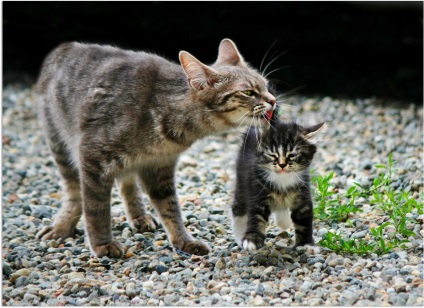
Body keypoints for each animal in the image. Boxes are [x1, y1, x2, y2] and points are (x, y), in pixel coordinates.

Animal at [36, 38, 278, 258]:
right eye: (248, 92)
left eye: (266, 85)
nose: (274, 100)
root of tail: (65, 46)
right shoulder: (93, 156)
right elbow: (96, 208)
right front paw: (102, 244)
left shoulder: (159, 167)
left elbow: (170, 208)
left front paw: (183, 240)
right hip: (59, 144)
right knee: (74, 191)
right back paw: (62, 225)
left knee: (127, 183)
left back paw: (138, 215)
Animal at [230, 110, 322, 253]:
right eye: (273, 155)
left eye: (292, 155)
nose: (282, 165)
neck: (282, 180)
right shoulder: (257, 194)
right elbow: (256, 217)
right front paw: (252, 239)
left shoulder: (303, 197)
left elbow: (304, 223)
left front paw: (306, 244)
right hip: (241, 182)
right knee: (238, 207)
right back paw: (240, 235)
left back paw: (283, 221)